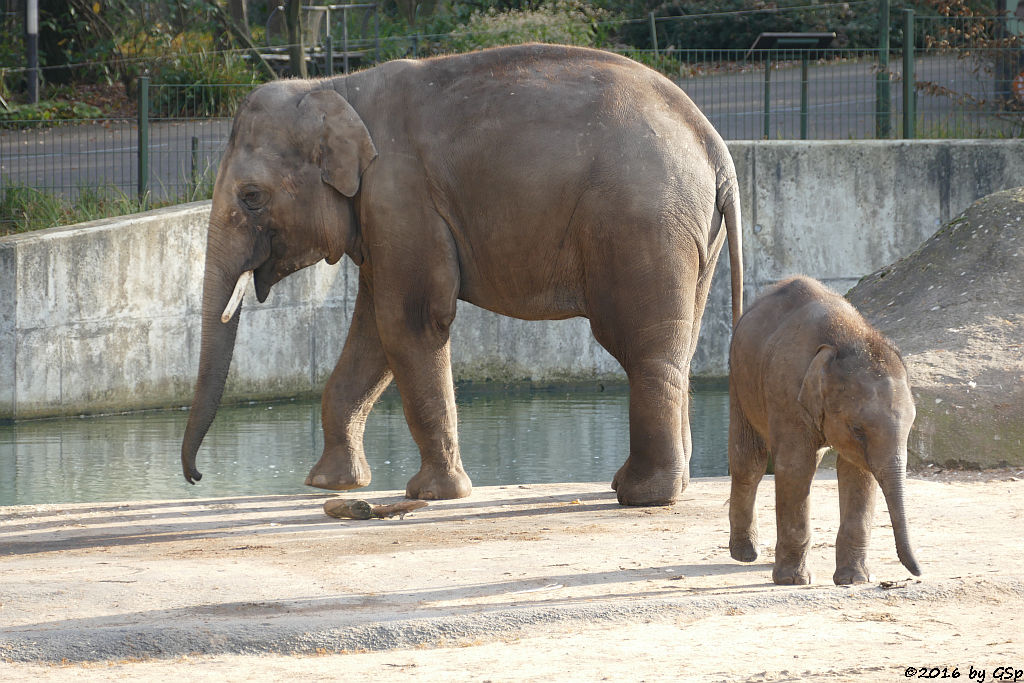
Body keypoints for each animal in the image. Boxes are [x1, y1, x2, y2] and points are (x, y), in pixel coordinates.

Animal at [180, 41, 745, 501]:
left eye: (251, 197)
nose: (196, 477)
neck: (336, 87)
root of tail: (715, 146)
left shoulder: (401, 196)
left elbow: (409, 321)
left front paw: (433, 494)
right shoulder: (384, 217)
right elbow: (373, 328)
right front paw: (329, 485)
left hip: (642, 222)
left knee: (643, 348)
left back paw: (640, 495)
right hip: (690, 236)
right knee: (679, 342)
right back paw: (666, 485)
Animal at [729, 274, 921, 585]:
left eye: (910, 427)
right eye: (857, 429)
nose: (918, 572)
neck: (846, 337)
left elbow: (858, 473)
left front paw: (854, 580)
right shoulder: (786, 392)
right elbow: (797, 467)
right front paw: (793, 581)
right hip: (738, 378)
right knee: (749, 462)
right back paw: (745, 555)